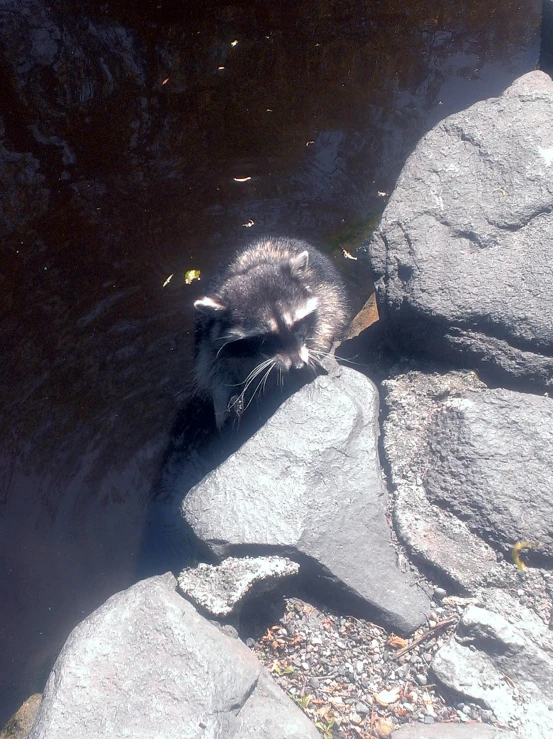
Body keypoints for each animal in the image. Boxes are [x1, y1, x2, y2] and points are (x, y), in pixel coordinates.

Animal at [194, 237, 350, 428]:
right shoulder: (209, 338)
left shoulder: (324, 296)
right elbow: (214, 372)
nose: (298, 366)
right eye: (264, 340)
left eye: (296, 327)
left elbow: (327, 322)